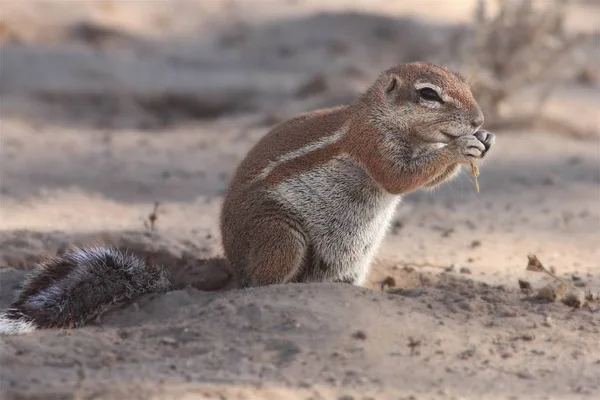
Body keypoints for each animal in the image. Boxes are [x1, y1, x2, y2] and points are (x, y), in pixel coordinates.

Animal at [0, 61, 496, 332]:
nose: (478, 118)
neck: (381, 117)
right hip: (280, 235)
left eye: (467, 85)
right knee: (263, 284)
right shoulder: (369, 143)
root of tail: (234, 272)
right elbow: (396, 178)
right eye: (428, 94)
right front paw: (459, 148)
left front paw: (483, 142)